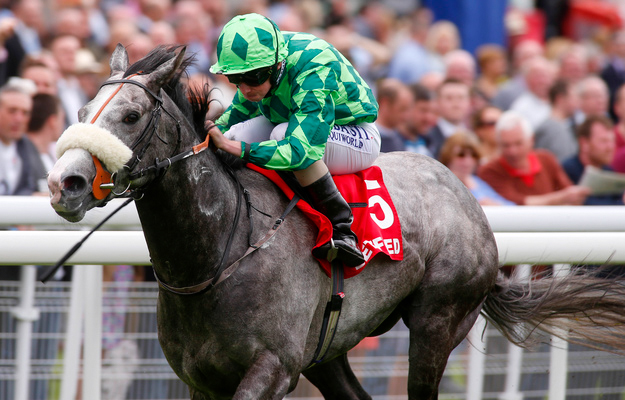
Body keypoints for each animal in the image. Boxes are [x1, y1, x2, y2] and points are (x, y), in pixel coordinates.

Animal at [47, 45, 624, 398]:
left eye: (130, 116)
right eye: (81, 112)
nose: (63, 184)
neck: (218, 253)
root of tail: (467, 196)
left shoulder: (273, 367)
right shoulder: (200, 380)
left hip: (439, 321)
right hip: (329, 349)